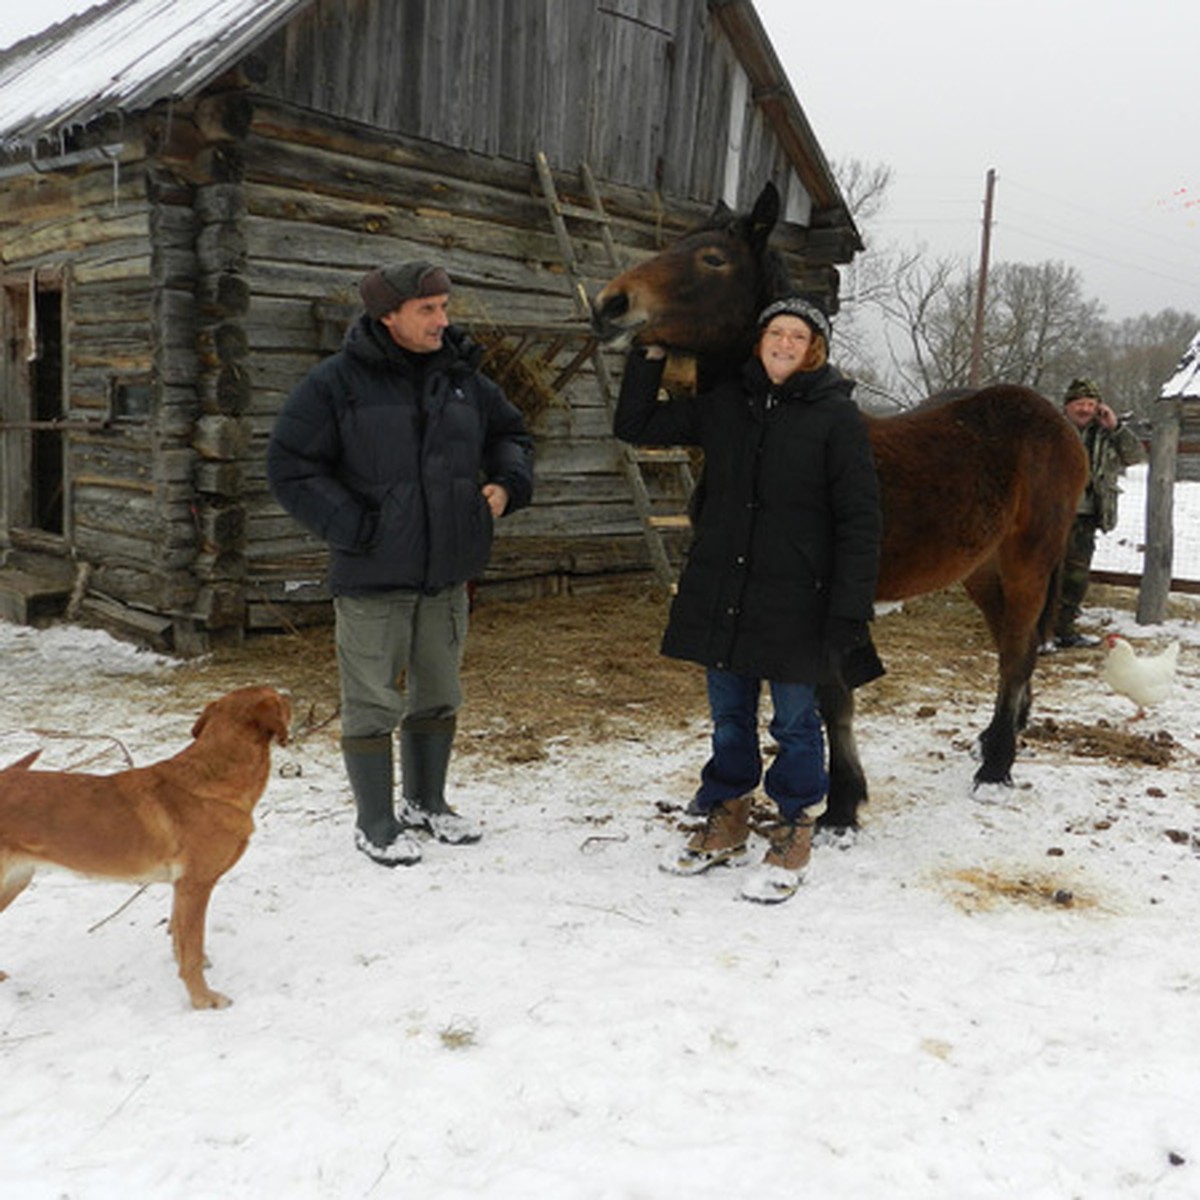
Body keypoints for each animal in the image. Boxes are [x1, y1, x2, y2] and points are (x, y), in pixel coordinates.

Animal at [0, 686, 290, 1012]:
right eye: (281, 699)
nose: (290, 697)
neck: (215, 779)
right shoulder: (196, 885)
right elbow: (191, 950)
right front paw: (203, 999)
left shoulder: (181, 888)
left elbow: (180, 939)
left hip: (15, 881)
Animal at [590, 182, 1089, 830]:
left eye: (713, 259)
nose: (609, 305)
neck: (774, 410)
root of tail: (1057, 421)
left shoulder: (830, 606)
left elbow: (833, 701)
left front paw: (842, 805)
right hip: (982, 569)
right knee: (1016, 647)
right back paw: (995, 740)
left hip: (1028, 560)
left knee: (1016, 651)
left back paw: (997, 765)